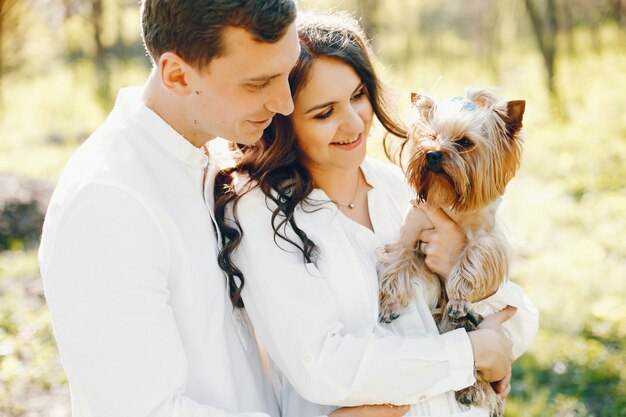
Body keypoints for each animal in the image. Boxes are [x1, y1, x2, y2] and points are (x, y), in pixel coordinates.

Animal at [378, 86, 524, 414]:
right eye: (431, 136)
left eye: (465, 142)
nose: (432, 153)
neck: (447, 197)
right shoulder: (411, 233)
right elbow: (397, 263)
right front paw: (391, 305)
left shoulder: (485, 237)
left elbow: (471, 260)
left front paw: (458, 299)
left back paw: (472, 388)